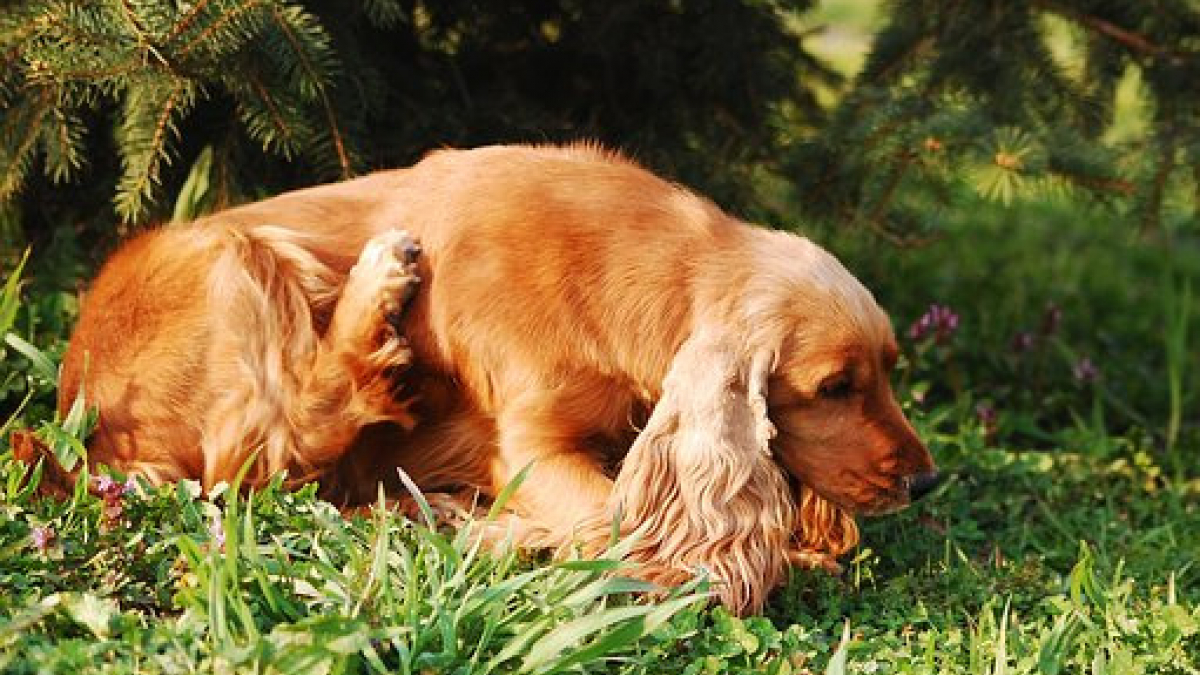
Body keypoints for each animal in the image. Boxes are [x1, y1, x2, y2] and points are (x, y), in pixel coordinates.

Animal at [51, 144, 936, 612]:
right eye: (834, 386)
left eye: (890, 371)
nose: (925, 481)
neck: (642, 273)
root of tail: (80, 416)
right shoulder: (530, 446)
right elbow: (615, 524)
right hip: (238, 257)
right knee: (271, 448)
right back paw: (381, 282)